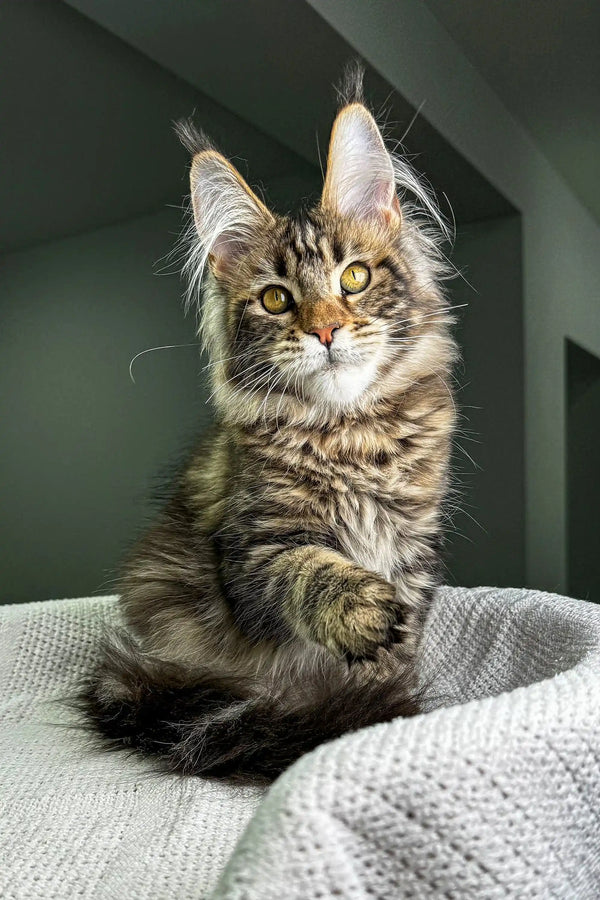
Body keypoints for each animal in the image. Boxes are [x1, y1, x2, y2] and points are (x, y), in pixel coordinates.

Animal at [82, 74, 458, 780]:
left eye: (354, 277)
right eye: (276, 299)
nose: (326, 330)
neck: (350, 434)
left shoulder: (416, 547)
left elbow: (398, 656)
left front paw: (381, 711)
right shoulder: (254, 550)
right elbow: (311, 571)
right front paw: (364, 617)